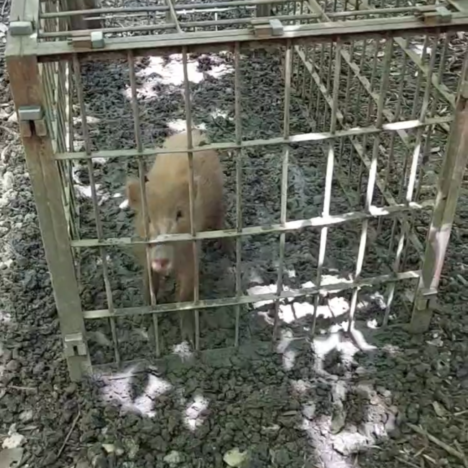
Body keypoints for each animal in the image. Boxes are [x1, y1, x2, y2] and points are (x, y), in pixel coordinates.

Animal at [126, 129, 225, 341]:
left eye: (179, 214)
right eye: (147, 218)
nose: (161, 260)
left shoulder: (192, 254)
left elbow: (185, 295)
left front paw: (188, 338)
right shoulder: (144, 253)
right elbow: (148, 283)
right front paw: (146, 316)